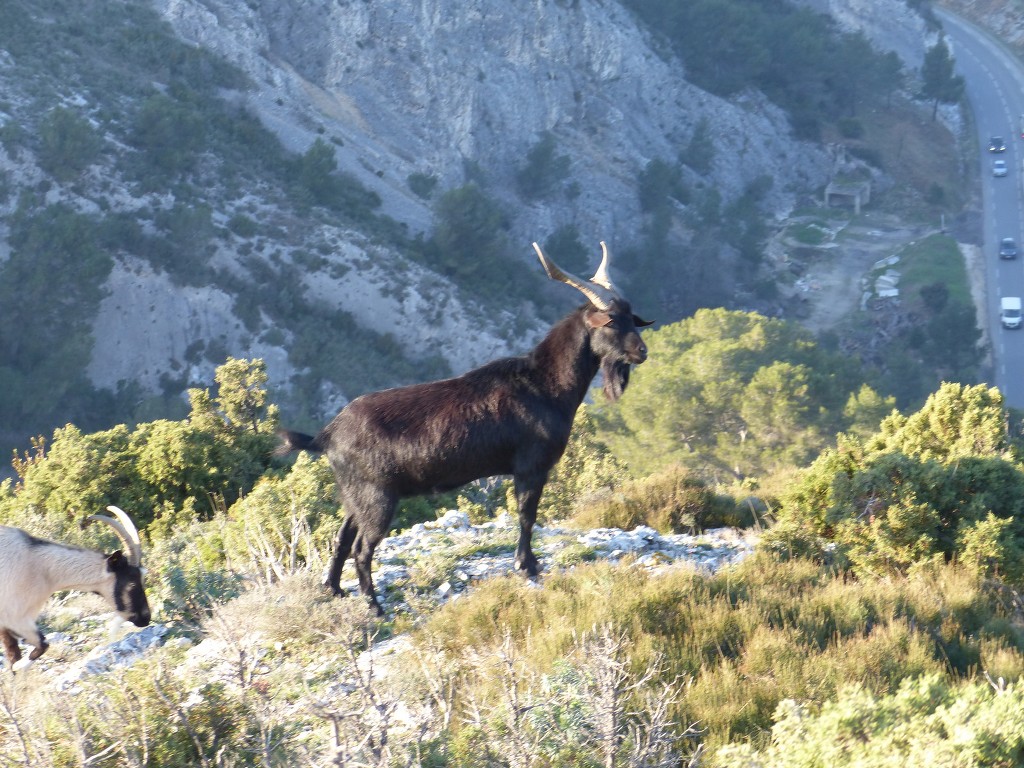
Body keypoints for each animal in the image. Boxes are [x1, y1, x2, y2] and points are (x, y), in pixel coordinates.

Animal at [0, 512, 150, 671]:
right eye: (132, 582)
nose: (146, 617)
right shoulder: (15, 617)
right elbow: (41, 645)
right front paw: (19, 666)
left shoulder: (11, 624)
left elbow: (16, 653)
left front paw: (17, 669)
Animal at [276, 243, 651, 618]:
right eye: (611, 320)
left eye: (631, 316)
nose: (641, 351)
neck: (543, 384)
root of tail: (326, 436)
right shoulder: (530, 466)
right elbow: (527, 516)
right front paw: (527, 566)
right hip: (376, 497)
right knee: (361, 548)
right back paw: (374, 605)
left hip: (355, 496)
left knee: (341, 539)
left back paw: (335, 590)